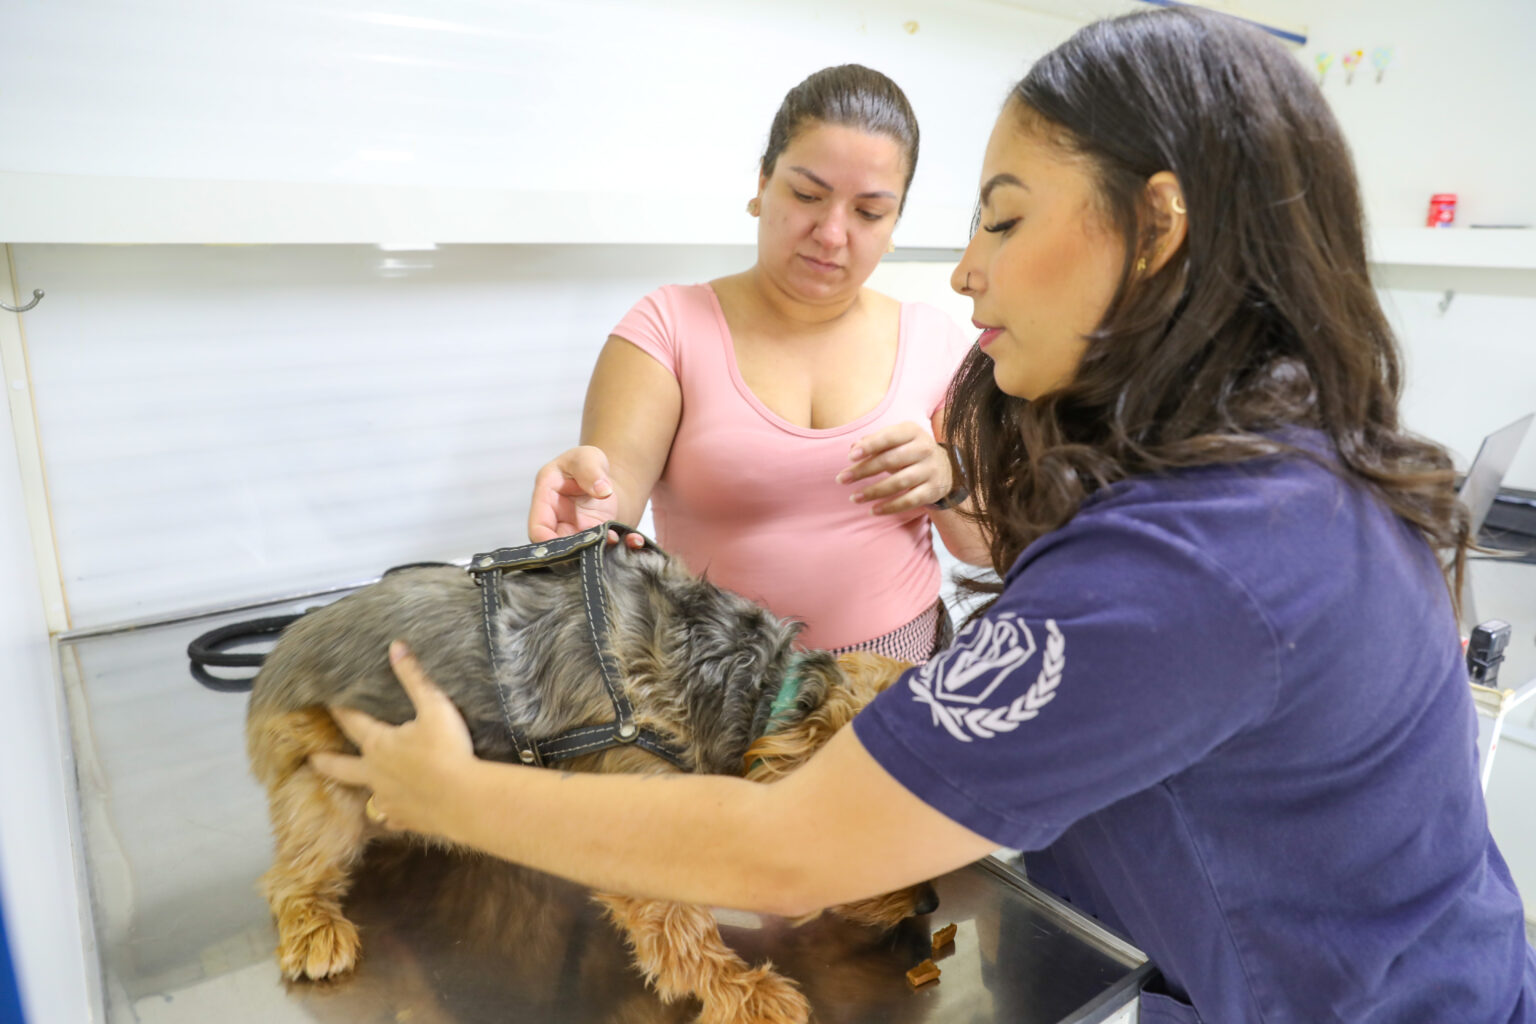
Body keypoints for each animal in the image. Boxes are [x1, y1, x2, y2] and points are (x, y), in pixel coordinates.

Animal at [244, 525, 933, 1024]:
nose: (927, 902)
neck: (758, 688)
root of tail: (272, 662)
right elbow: (681, 928)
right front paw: (746, 992)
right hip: (323, 782)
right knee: (292, 874)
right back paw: (314, 928)